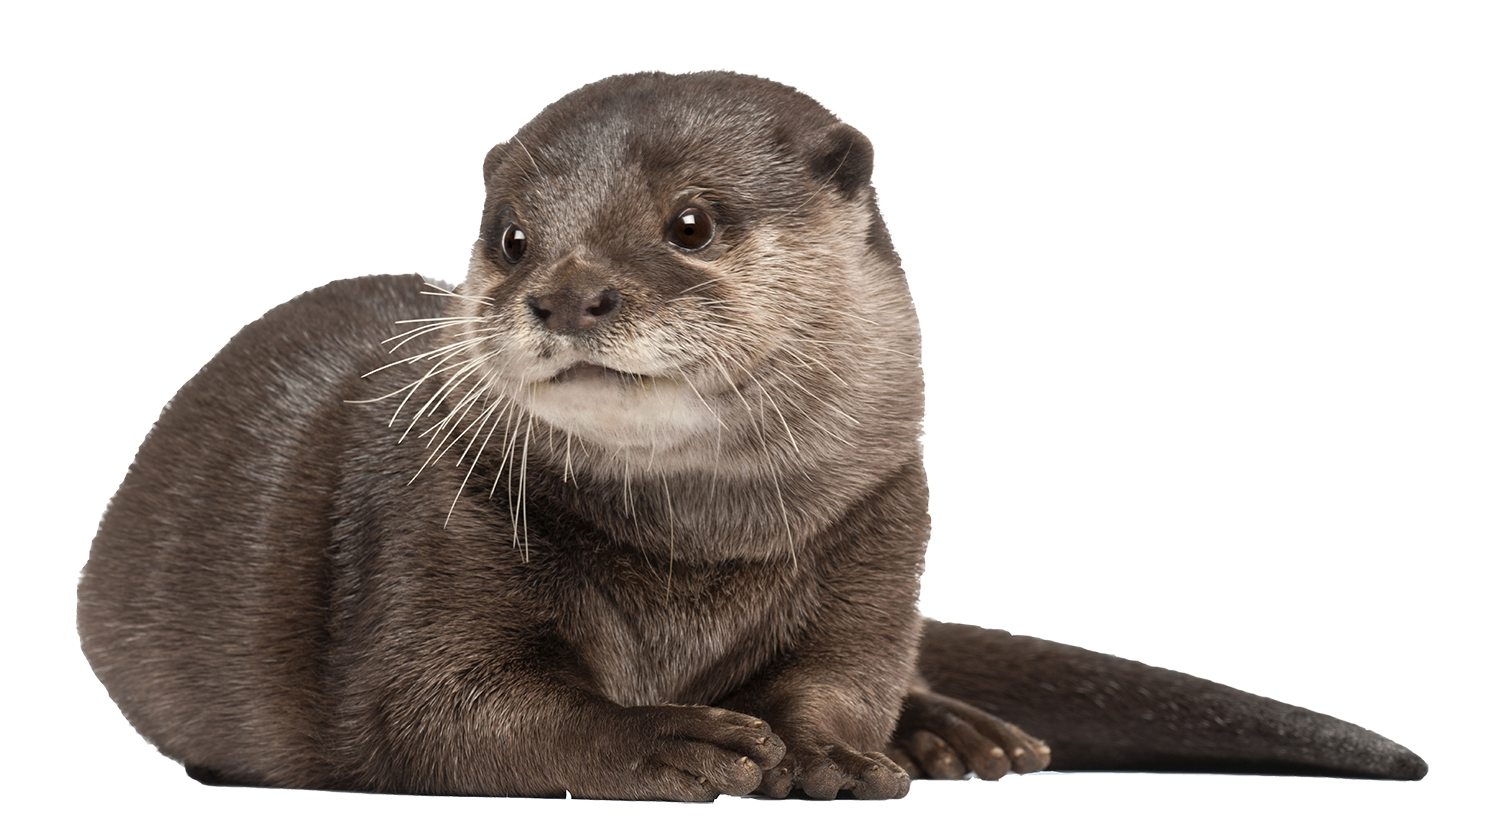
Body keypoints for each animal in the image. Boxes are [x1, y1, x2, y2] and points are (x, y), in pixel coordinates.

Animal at [76, 71, 1425, 801]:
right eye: (510, 237)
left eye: (691, 220)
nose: (566, 291)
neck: (696, 556)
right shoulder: (427, 520)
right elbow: (443, 707)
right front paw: (674, 736)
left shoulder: (888, 519)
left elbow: (845, 670)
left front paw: (831, 748)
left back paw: (960, 728)